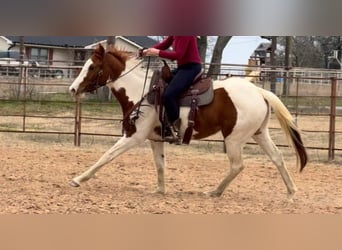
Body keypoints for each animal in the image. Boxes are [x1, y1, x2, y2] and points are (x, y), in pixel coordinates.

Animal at [69, 44, 308, 201]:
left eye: (91, 67)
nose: (72, 88)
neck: (142, 91)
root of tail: (259, 92)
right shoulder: (155, 139)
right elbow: (160, 164)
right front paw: (160, 190)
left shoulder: (133, 136)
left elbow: (107, 156)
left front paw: (79, 178)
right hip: (260, 133)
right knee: (277, 158)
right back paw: (291, 193)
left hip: (234, 138)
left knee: (237, 165)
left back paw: (215, 191)